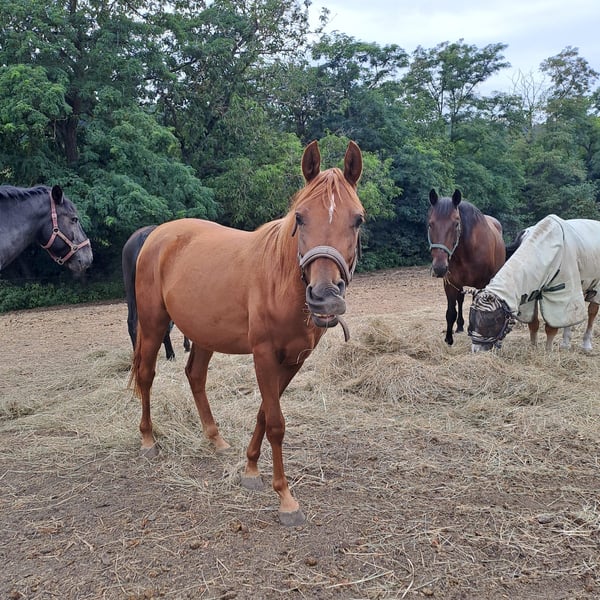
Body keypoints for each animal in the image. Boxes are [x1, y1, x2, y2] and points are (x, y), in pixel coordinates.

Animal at [129, 140, 365, 526]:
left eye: (358, 220)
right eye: (300, 217)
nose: (325, 297)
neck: (280, 280)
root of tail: (157, 235)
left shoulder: (294, 359)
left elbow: (265, 413)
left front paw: (251, 470)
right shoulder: (264, 355)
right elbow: (276, 423)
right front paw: (286, 499)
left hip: (205, 334)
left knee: (195, 375)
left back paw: (215, 439)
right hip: (152, 325)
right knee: (147, 375)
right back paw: (149, 440)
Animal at [427, 189, 505, 345]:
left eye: (456, 224)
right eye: (430, 224)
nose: (439, 268)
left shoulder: (483, 284)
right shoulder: (450, 284)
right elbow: (451, 312)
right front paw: (449, 340)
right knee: (461, 300)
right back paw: (460, 326)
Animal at [468, 215, 600, 352]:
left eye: (492, 320)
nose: (476, 350)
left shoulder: (560, 294)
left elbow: (551, 327)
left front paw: (548, 351)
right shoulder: (530, 290)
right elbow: (533, 324)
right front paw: (533, 346)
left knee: (591, 312)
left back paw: (586, 345)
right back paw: (565, 343)